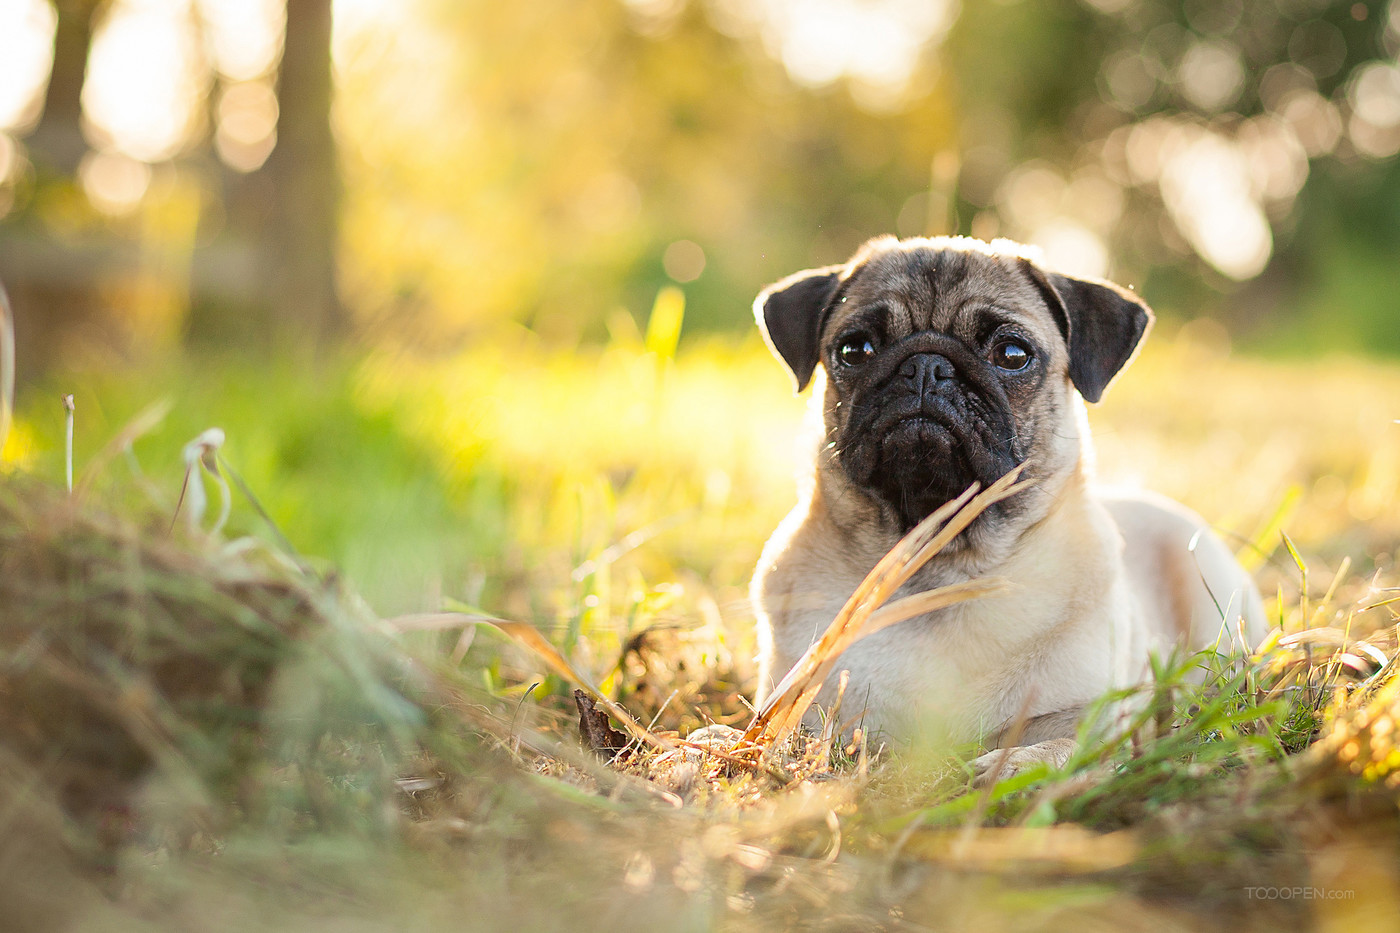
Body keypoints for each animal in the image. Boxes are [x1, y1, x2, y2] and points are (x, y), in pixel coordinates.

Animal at [756, 236, 1271, 773]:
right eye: (855, 350)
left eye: (1012, 354)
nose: (926, 366)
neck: (940, 571)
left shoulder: (1095, 714)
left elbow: (1065, 744)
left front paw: (1012, 765)